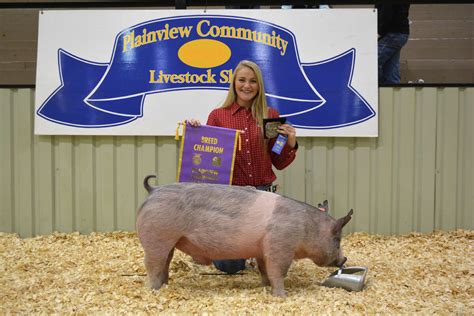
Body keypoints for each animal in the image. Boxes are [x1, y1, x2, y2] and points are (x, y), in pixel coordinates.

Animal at [136, 175, 352, 296]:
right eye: (337, 239)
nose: (344, 259)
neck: (305, 227)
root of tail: (153, 191)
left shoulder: (262, 250)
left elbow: (264, 270)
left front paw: (264, 287)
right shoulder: (280, 247)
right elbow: (278, 272)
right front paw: (282, 296)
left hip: (169, 242)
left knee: (165, 262)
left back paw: (165, 284)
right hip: (157, 237)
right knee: (152, 264)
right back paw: (154, 290)